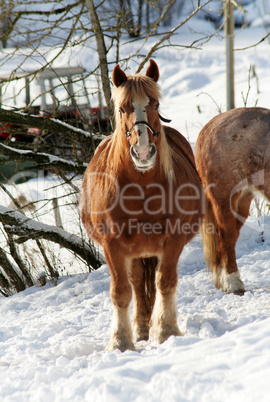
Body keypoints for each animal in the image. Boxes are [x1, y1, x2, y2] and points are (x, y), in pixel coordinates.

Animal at [80, 59, 202, 352]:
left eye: (155, 105)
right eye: (122, 108)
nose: (143, 152)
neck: (141, 187)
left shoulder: (172, 240)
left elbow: (165, 282)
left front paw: (166, 331)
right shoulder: (113, 246)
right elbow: (121, 292)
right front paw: (121, 341)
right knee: (136, 283)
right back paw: (140, 327)